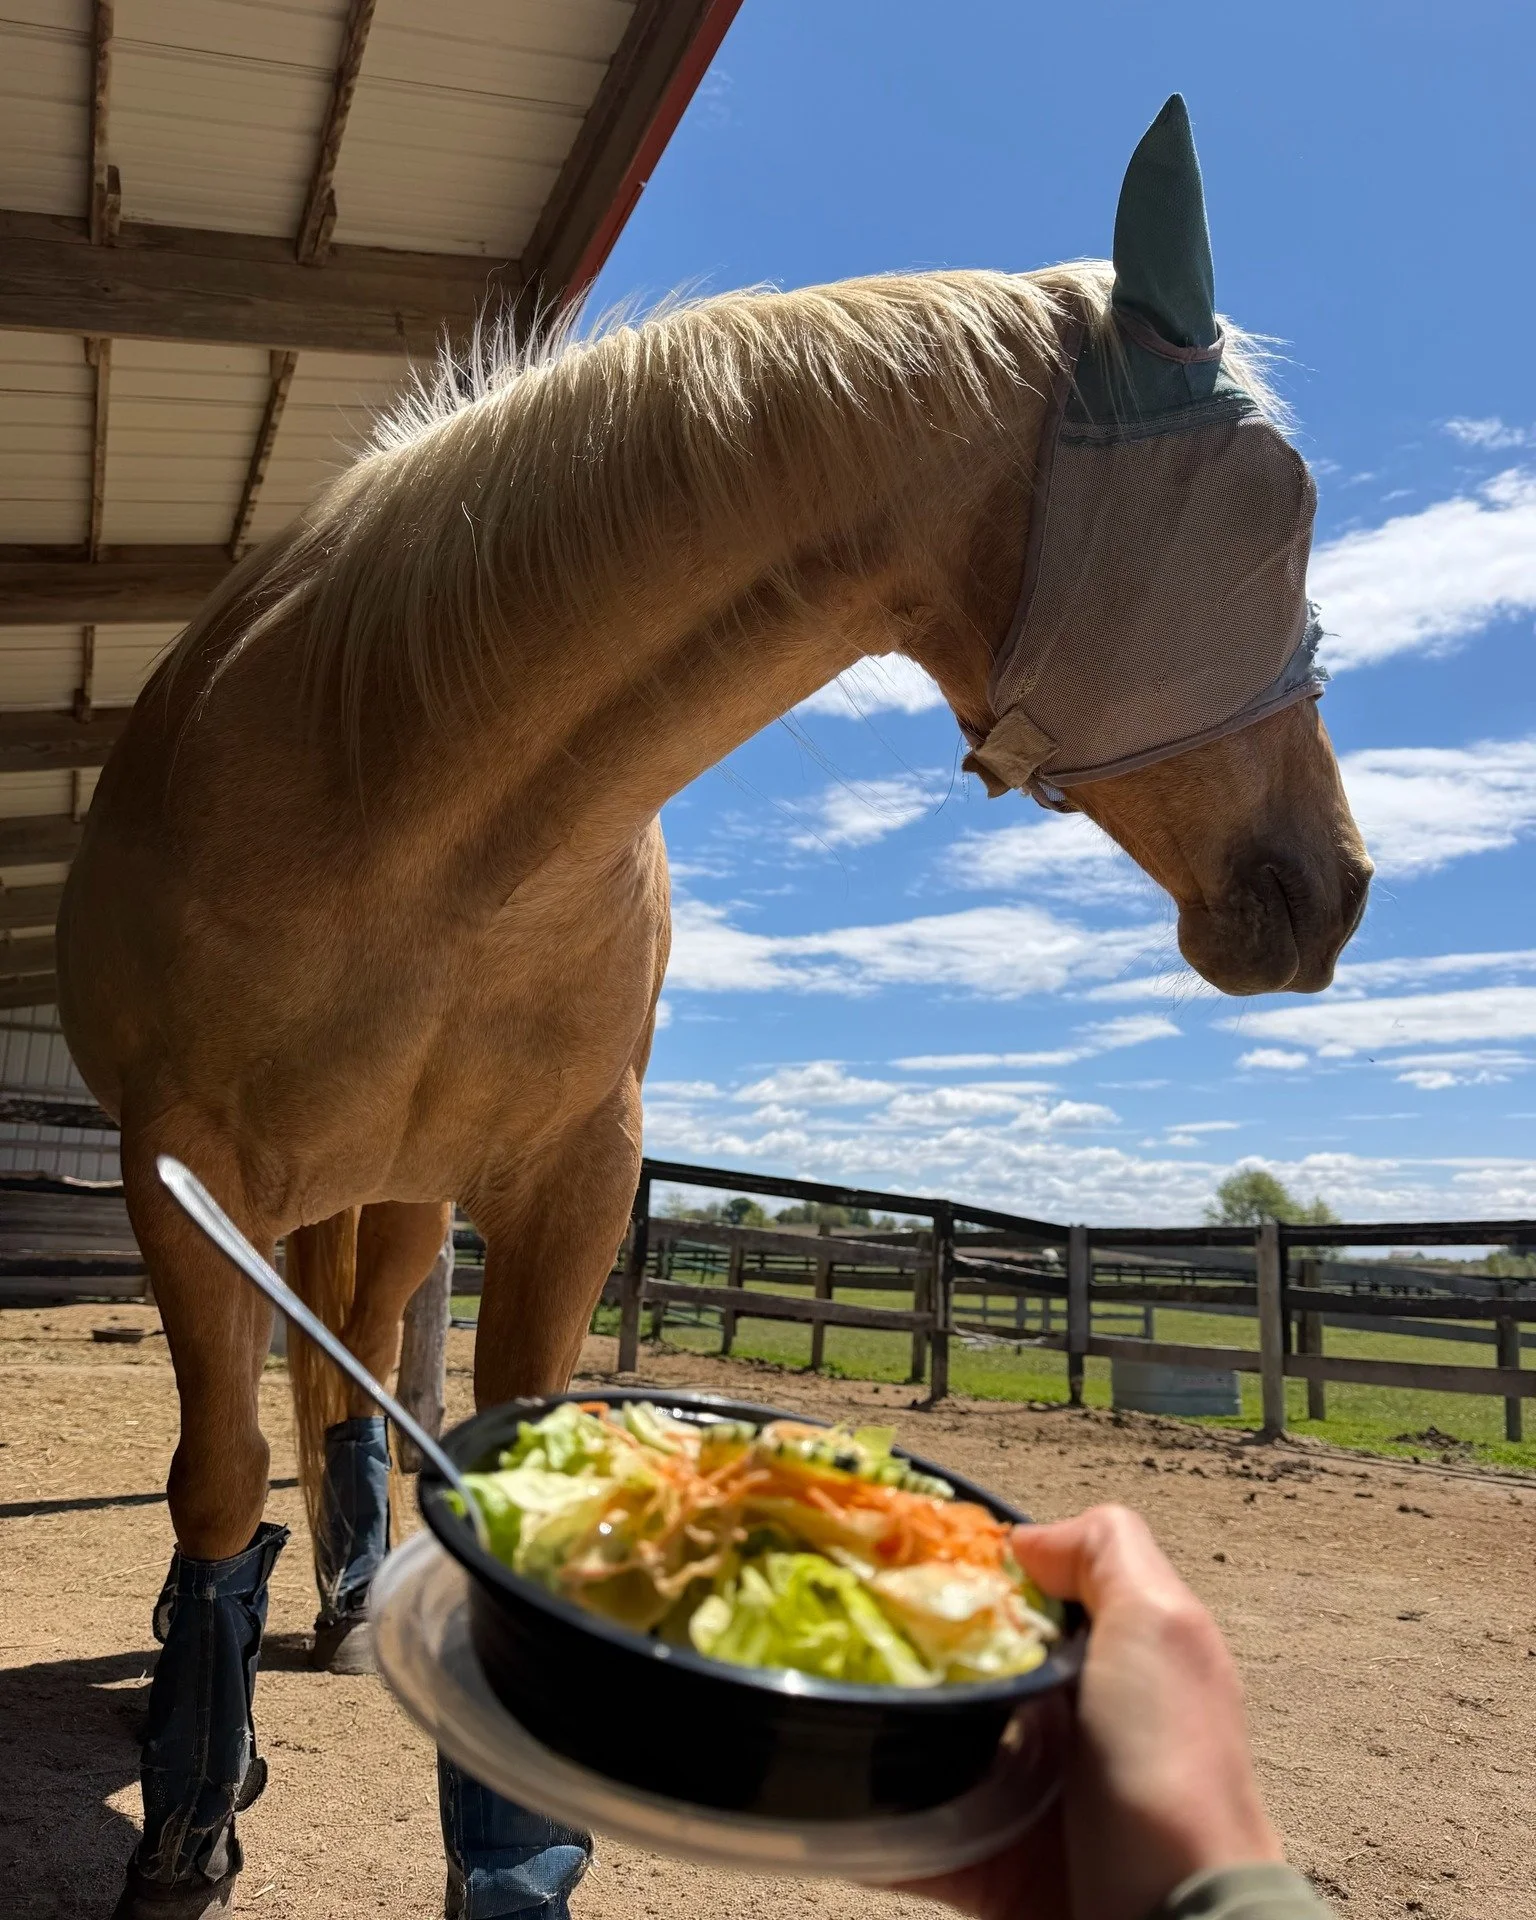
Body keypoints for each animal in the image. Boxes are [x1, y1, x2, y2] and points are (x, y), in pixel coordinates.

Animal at [57, 95, 1370, 1920]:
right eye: (1277, 505)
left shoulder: (573, 1176)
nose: (1336, 886)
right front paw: (188, 1820)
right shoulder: (178, 1173)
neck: (416, 810)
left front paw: (510, 1848)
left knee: (351, 1378)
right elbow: (211, 1481)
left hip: (396, 1199)